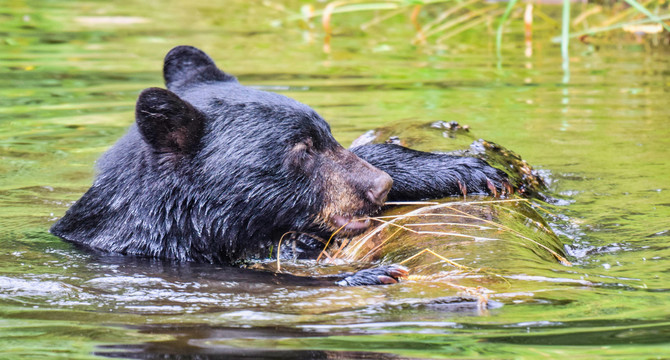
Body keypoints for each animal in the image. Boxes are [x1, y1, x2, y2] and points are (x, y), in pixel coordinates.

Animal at [50, 46, 510, 286]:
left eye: (327, 135)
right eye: (301, 150)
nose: (379, 186)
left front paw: (469, 170)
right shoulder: (163, 254)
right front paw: (367, 275)